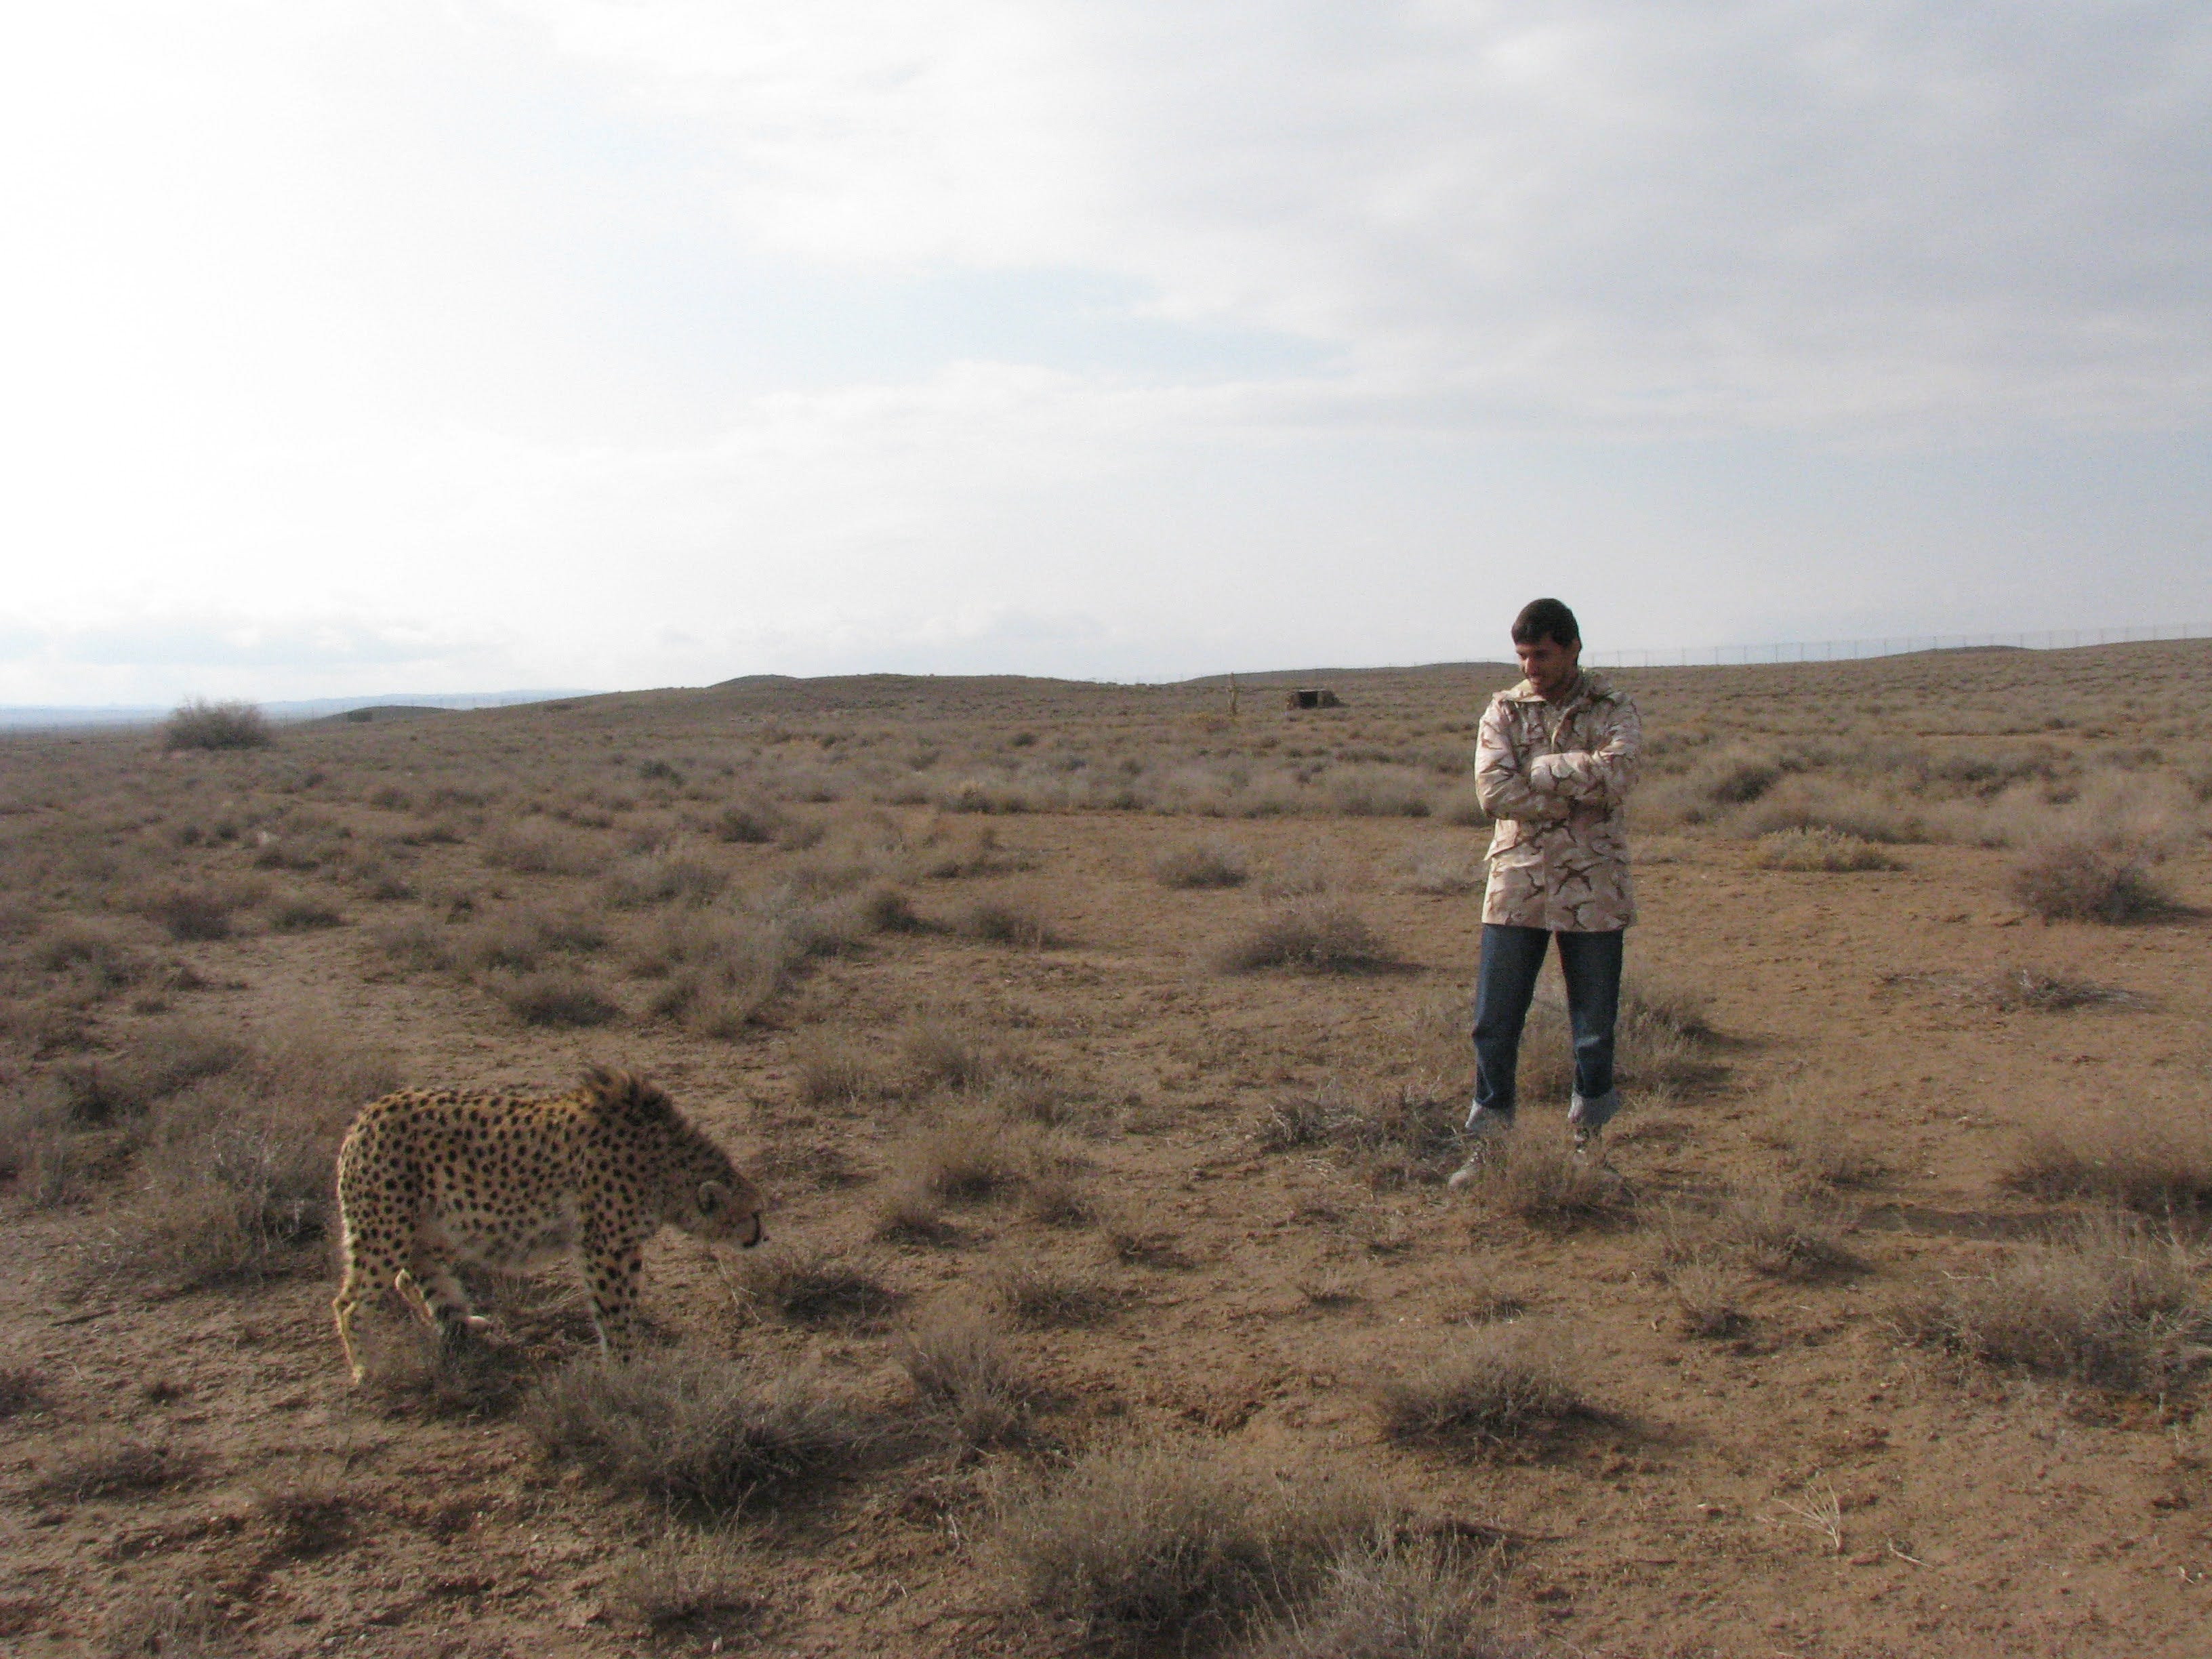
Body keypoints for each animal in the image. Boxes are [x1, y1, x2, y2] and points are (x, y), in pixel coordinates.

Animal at [331, 1064, 764, 1382]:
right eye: (755, 1213)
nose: (764, 1235)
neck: (664, 1163)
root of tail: (368, 1113)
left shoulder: (622, 1244)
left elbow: (624, 1305)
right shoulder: (604, 1247)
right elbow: (614, 1308)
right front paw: (626, 1367)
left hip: (447, 1226)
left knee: (411, 1277)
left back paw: (459, 1324)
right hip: (387, 1231)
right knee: (350, 1302)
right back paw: (366, 1368)